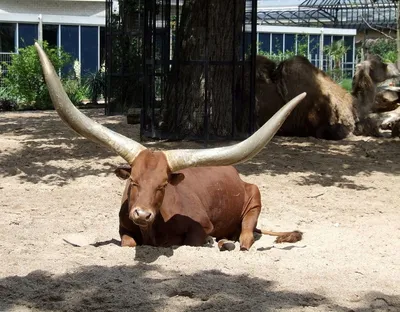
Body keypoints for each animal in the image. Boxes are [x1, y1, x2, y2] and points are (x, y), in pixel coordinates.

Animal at [36, 42, 304, 251]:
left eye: (163, 185)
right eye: (133, 181)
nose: (142, 214)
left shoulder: (203, 225)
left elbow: (196, 239)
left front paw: (211, 241)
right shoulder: (123, 227)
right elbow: (127, 242)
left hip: (255, 197)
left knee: (246, 236)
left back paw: (228, 242)